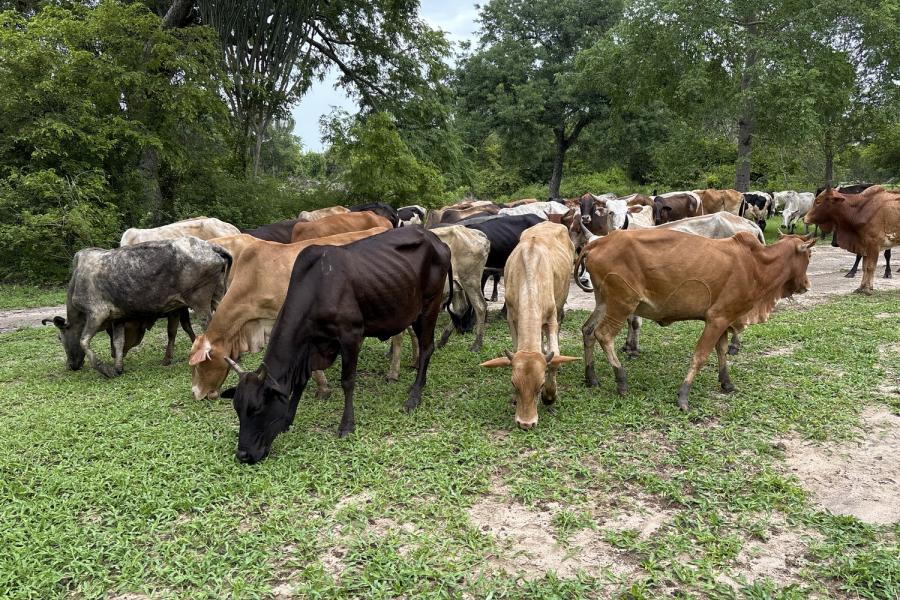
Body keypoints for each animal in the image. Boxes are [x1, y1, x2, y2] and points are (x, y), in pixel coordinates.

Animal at [44, 237, 231, 377]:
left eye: (60, 337)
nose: (71, 365)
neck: (77, 280)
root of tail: (211, 246)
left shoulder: (97, 313)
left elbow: (83, 341)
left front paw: (103, 368)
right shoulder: (117, 318)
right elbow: (118, 342)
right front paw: (118, 367)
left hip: (199, 301)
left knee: (209, 325)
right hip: (218, 295)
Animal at [222, 227, 452, 463]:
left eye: (257, 409)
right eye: (237, 409)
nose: (243, 454)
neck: (317, 288)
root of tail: (435, 239)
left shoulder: (351, 336)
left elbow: (347, 382)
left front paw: (346, 425)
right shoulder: (310, 346)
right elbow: (301, 382)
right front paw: (287, 420)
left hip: (429, 307)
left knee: (427, 349)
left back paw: (414, 395)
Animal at [480, 222, 579, 429]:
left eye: (540, 385)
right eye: (513, 383)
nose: (526, 424)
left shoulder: (551, 317)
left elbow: (555, 355)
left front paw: (550, 396)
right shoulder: (512, 316)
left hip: (560, 305)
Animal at [576, 230, 815, 410]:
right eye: (809, 256)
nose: (806, 284)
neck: (757, 264)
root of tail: (597, 243)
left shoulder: (724, 320)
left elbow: (721, 351)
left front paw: (726, 383)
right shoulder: (717, 319)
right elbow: (700, 356)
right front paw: (683, 397)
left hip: (604, 302)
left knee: (588, 330)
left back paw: (591, 378)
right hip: (622, 304)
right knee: (603, 335)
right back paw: (621, 381)